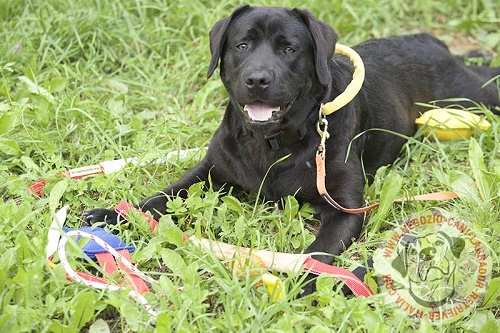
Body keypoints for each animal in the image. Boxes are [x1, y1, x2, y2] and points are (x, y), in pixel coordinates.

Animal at [84, 5, 498, 288]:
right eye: (242, 44)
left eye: (289, 49)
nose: (257, 79)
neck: (272, 143)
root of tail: (431, 41)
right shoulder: (209, 172)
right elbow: (157, 199)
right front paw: (109, 217)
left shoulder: (345, 207)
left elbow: (318, 251)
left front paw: (309, 281)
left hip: (471, 96)